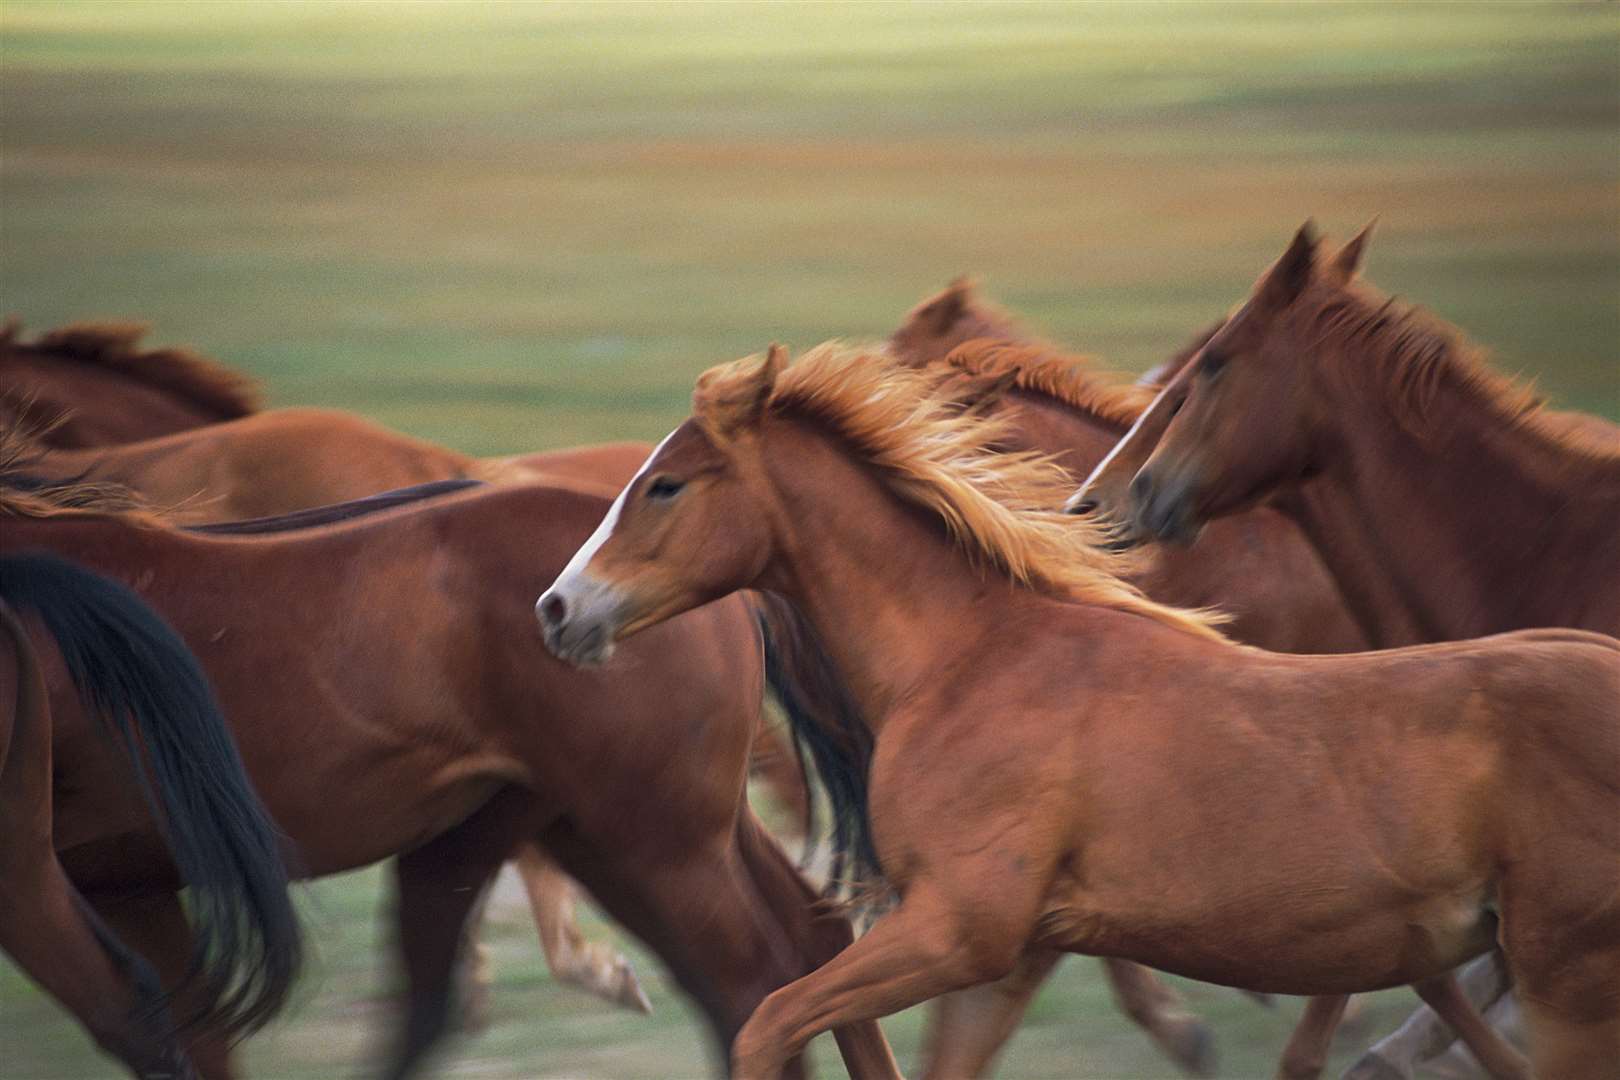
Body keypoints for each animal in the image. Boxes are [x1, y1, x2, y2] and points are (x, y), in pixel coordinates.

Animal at [534, 344, 1620, 1080]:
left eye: (665, 485)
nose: (557, 610)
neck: (969, 658)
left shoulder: (959, 931)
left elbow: (768, 1020)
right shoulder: (1007, 957)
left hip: (1569, 982)